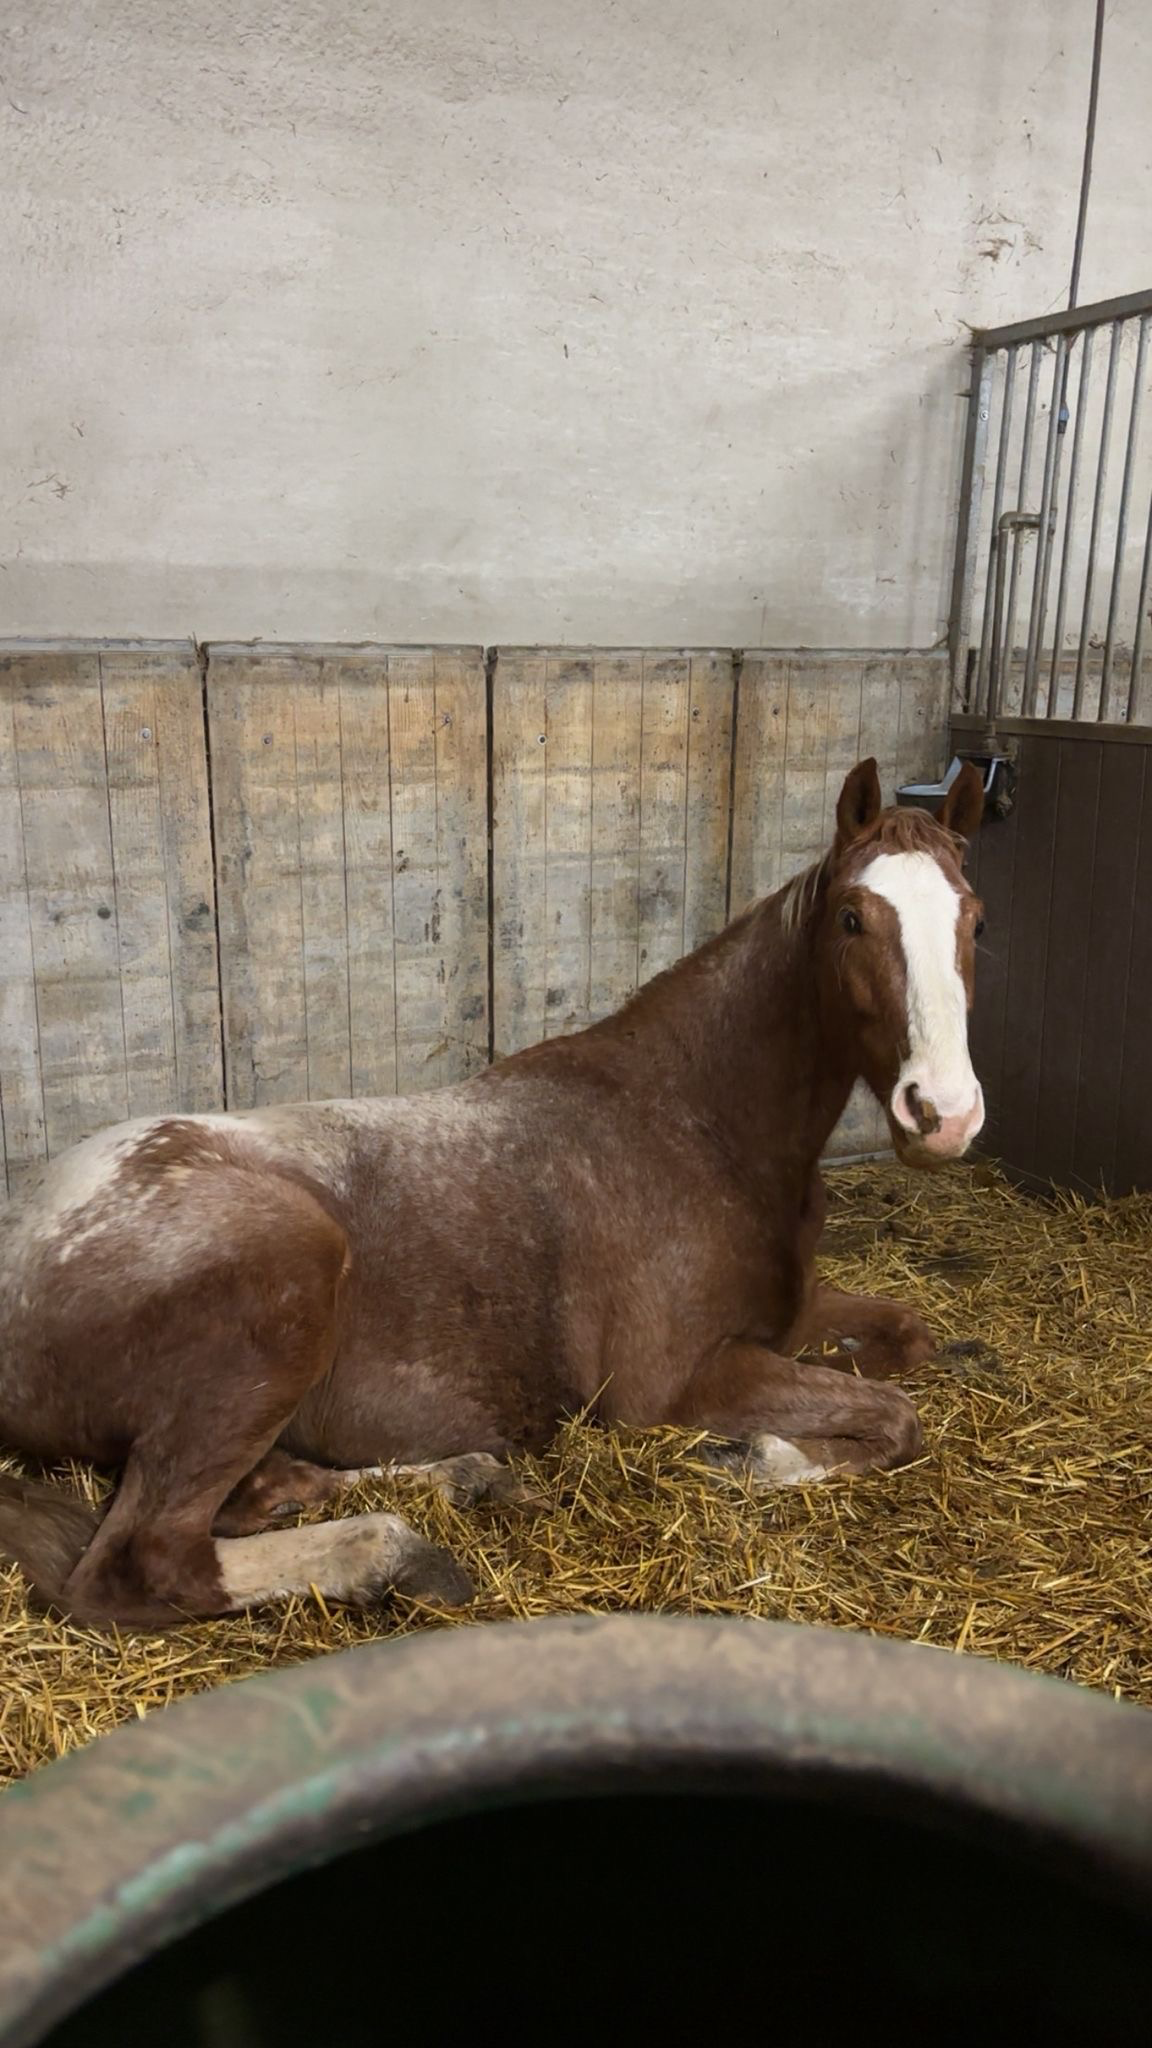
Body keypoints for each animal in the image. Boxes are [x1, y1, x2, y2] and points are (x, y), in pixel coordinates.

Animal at [0, 757, 986, 1629]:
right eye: (853, 917)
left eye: (974, 918)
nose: (943, 1113)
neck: (695, 1123)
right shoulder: (679, 1383)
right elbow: (895, 1419)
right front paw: (751, 1453)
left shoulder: (787, 1320)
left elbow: (911, 1340)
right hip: (285, 1284)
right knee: (149, 1561)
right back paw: (394, 1555)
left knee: (267, 1489)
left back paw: (469, 1478)